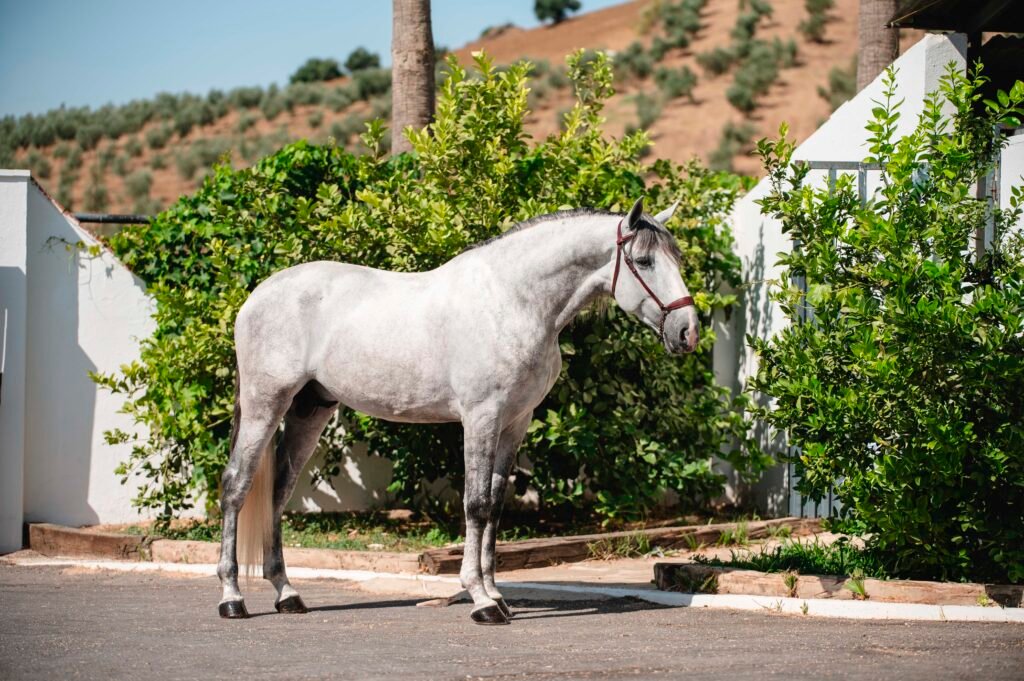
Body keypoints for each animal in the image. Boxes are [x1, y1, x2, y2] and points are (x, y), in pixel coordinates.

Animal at [216, 197, 699, 625]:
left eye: (676, 257)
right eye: (644, 261)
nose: (688, 331)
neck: (513, 301)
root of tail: (257, 297)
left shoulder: (515, 423)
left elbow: (496, 506)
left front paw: (496, 594)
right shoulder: (481, 417)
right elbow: (476, 504)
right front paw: (481, 601)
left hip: (309, 409)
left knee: (278, 492)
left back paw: (287, 594)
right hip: (265, 404)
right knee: (237, 486)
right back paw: (232, 598)